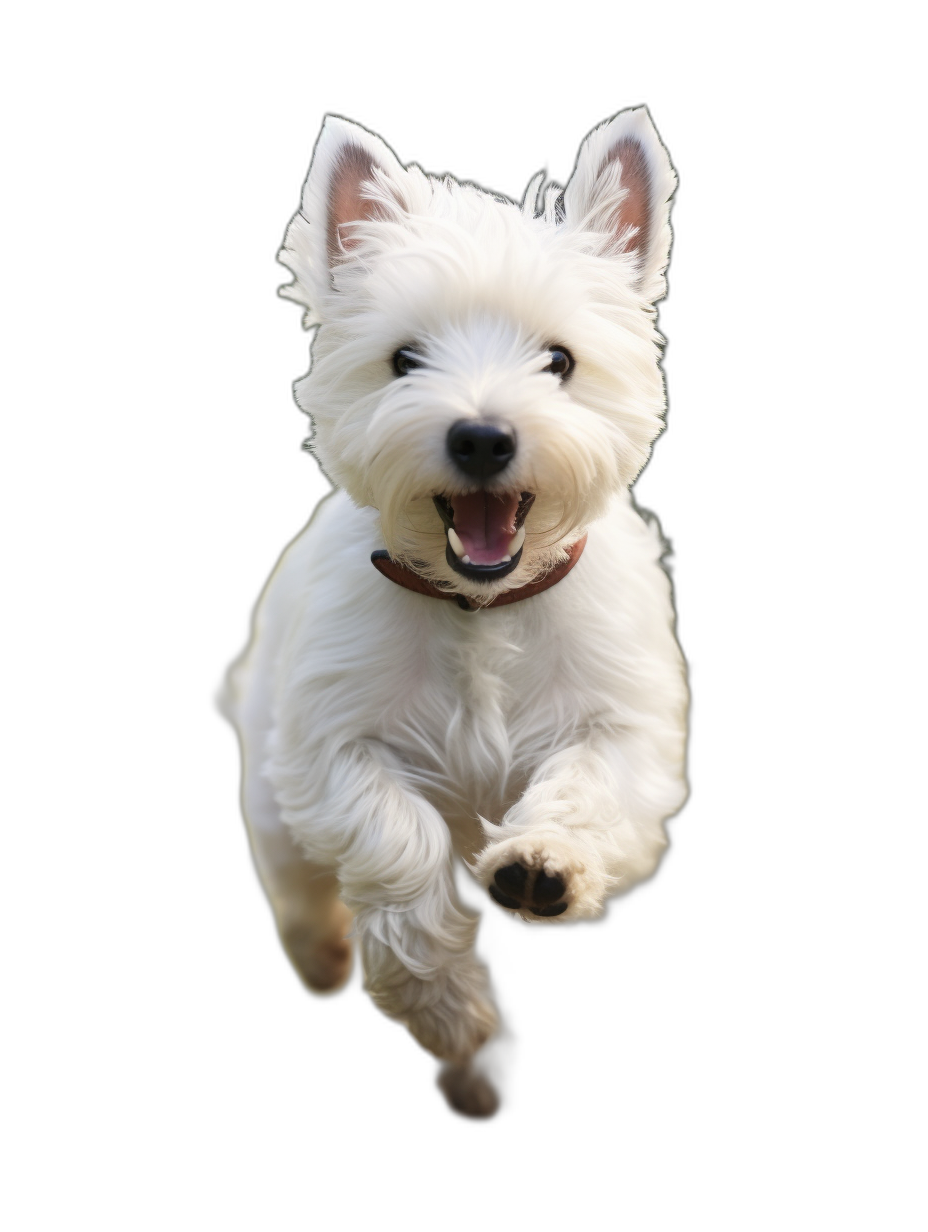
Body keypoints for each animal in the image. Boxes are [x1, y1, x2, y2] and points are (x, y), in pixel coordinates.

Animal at [223, 110, 690, 1123]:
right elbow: (393, 837)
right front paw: (449, 1013)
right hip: (270, 772)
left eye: (559, 360)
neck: (479, 607)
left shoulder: (632, 728)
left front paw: (540, 865)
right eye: (405, 360)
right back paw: (329, 962)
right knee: (291, 880)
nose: (482, 437)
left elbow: (589, 784)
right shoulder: (330, 743)